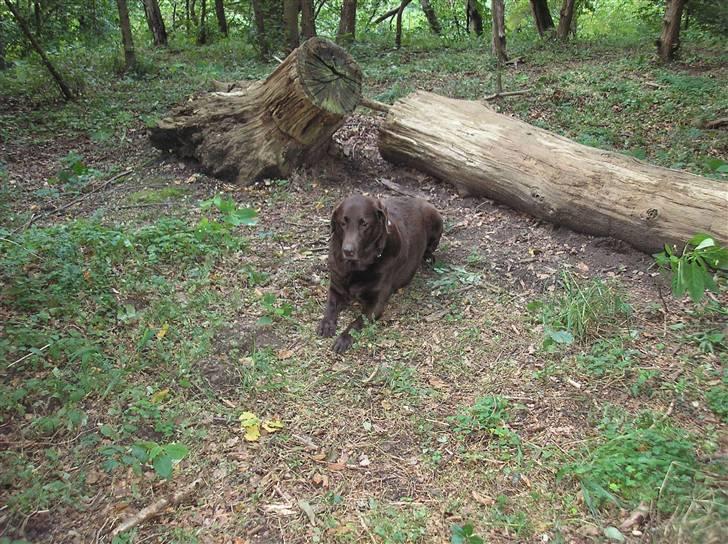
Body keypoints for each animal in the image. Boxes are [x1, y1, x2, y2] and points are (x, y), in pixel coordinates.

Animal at [318, 194, 444, 352]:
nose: (347, 251)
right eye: (342, 223)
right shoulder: (336, 288)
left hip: (436, 219)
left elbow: (358, 321)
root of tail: (416, 199)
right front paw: (326, 324)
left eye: (364, 224)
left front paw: (344, 338)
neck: (356, 268)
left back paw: (428, 257)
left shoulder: (376, 302)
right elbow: (330, 306)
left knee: (431, 247)